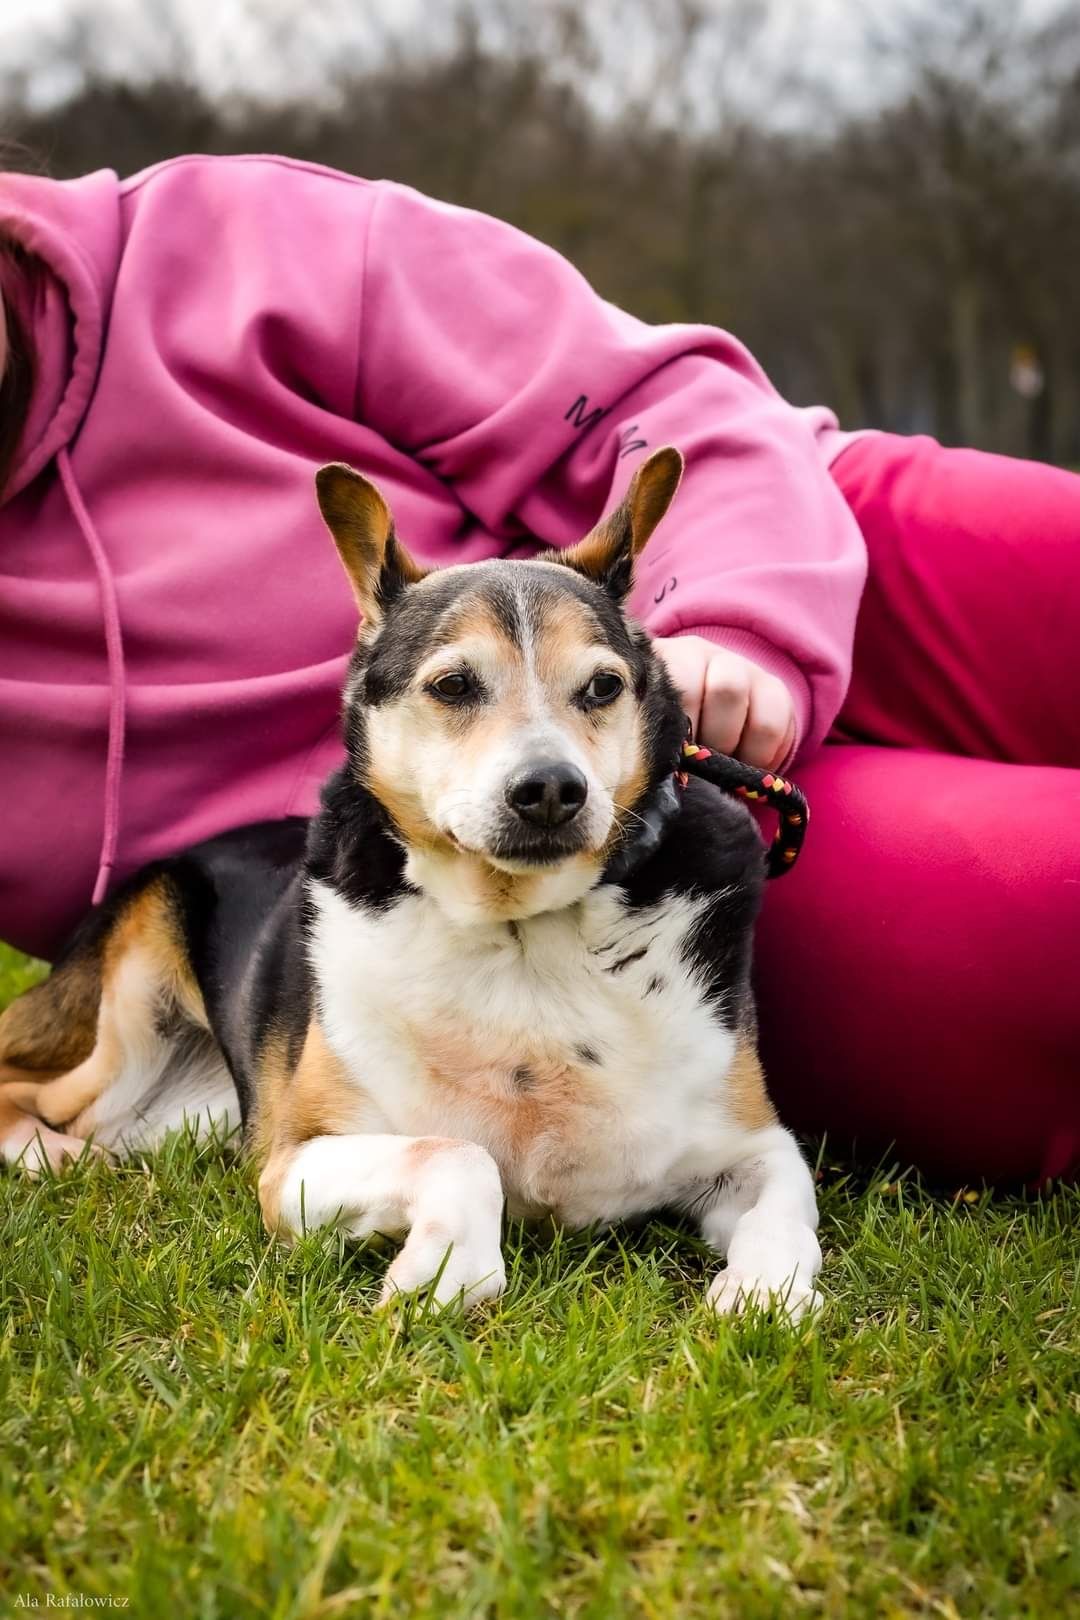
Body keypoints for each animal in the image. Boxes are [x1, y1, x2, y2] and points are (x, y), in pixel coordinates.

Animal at [0, 447, 819, 1315]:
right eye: (453, 685)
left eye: (602, 687)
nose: (551, 789)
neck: (518, 932)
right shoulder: (296, 1157)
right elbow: (458, 1154)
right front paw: (447, 1270)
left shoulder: (751, 1139)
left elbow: (786, 1206)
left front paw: (766, 1294)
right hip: (128, 1013)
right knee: (24, 1087)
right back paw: (54, 1157)